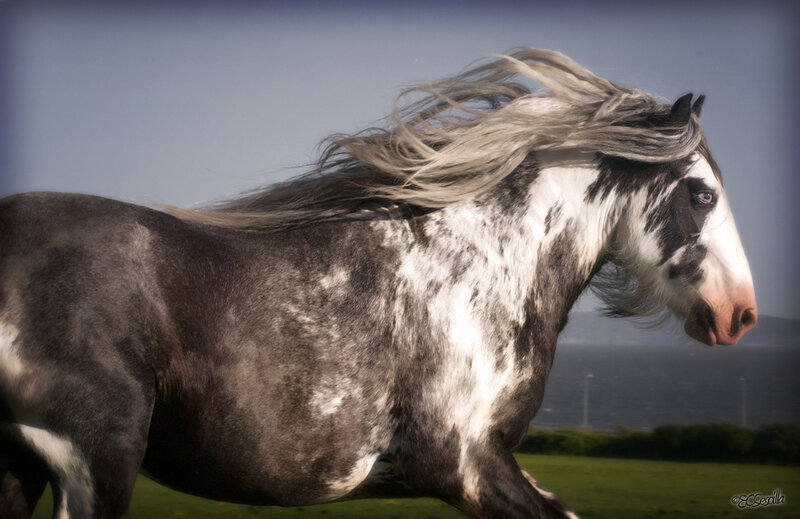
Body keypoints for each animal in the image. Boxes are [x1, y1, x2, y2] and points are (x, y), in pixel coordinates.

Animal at [0, 49, 756, 518]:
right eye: (701, 194)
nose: (740, 313)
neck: (481, 272)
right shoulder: (461, 463)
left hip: (24, 461)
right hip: (92, 453)